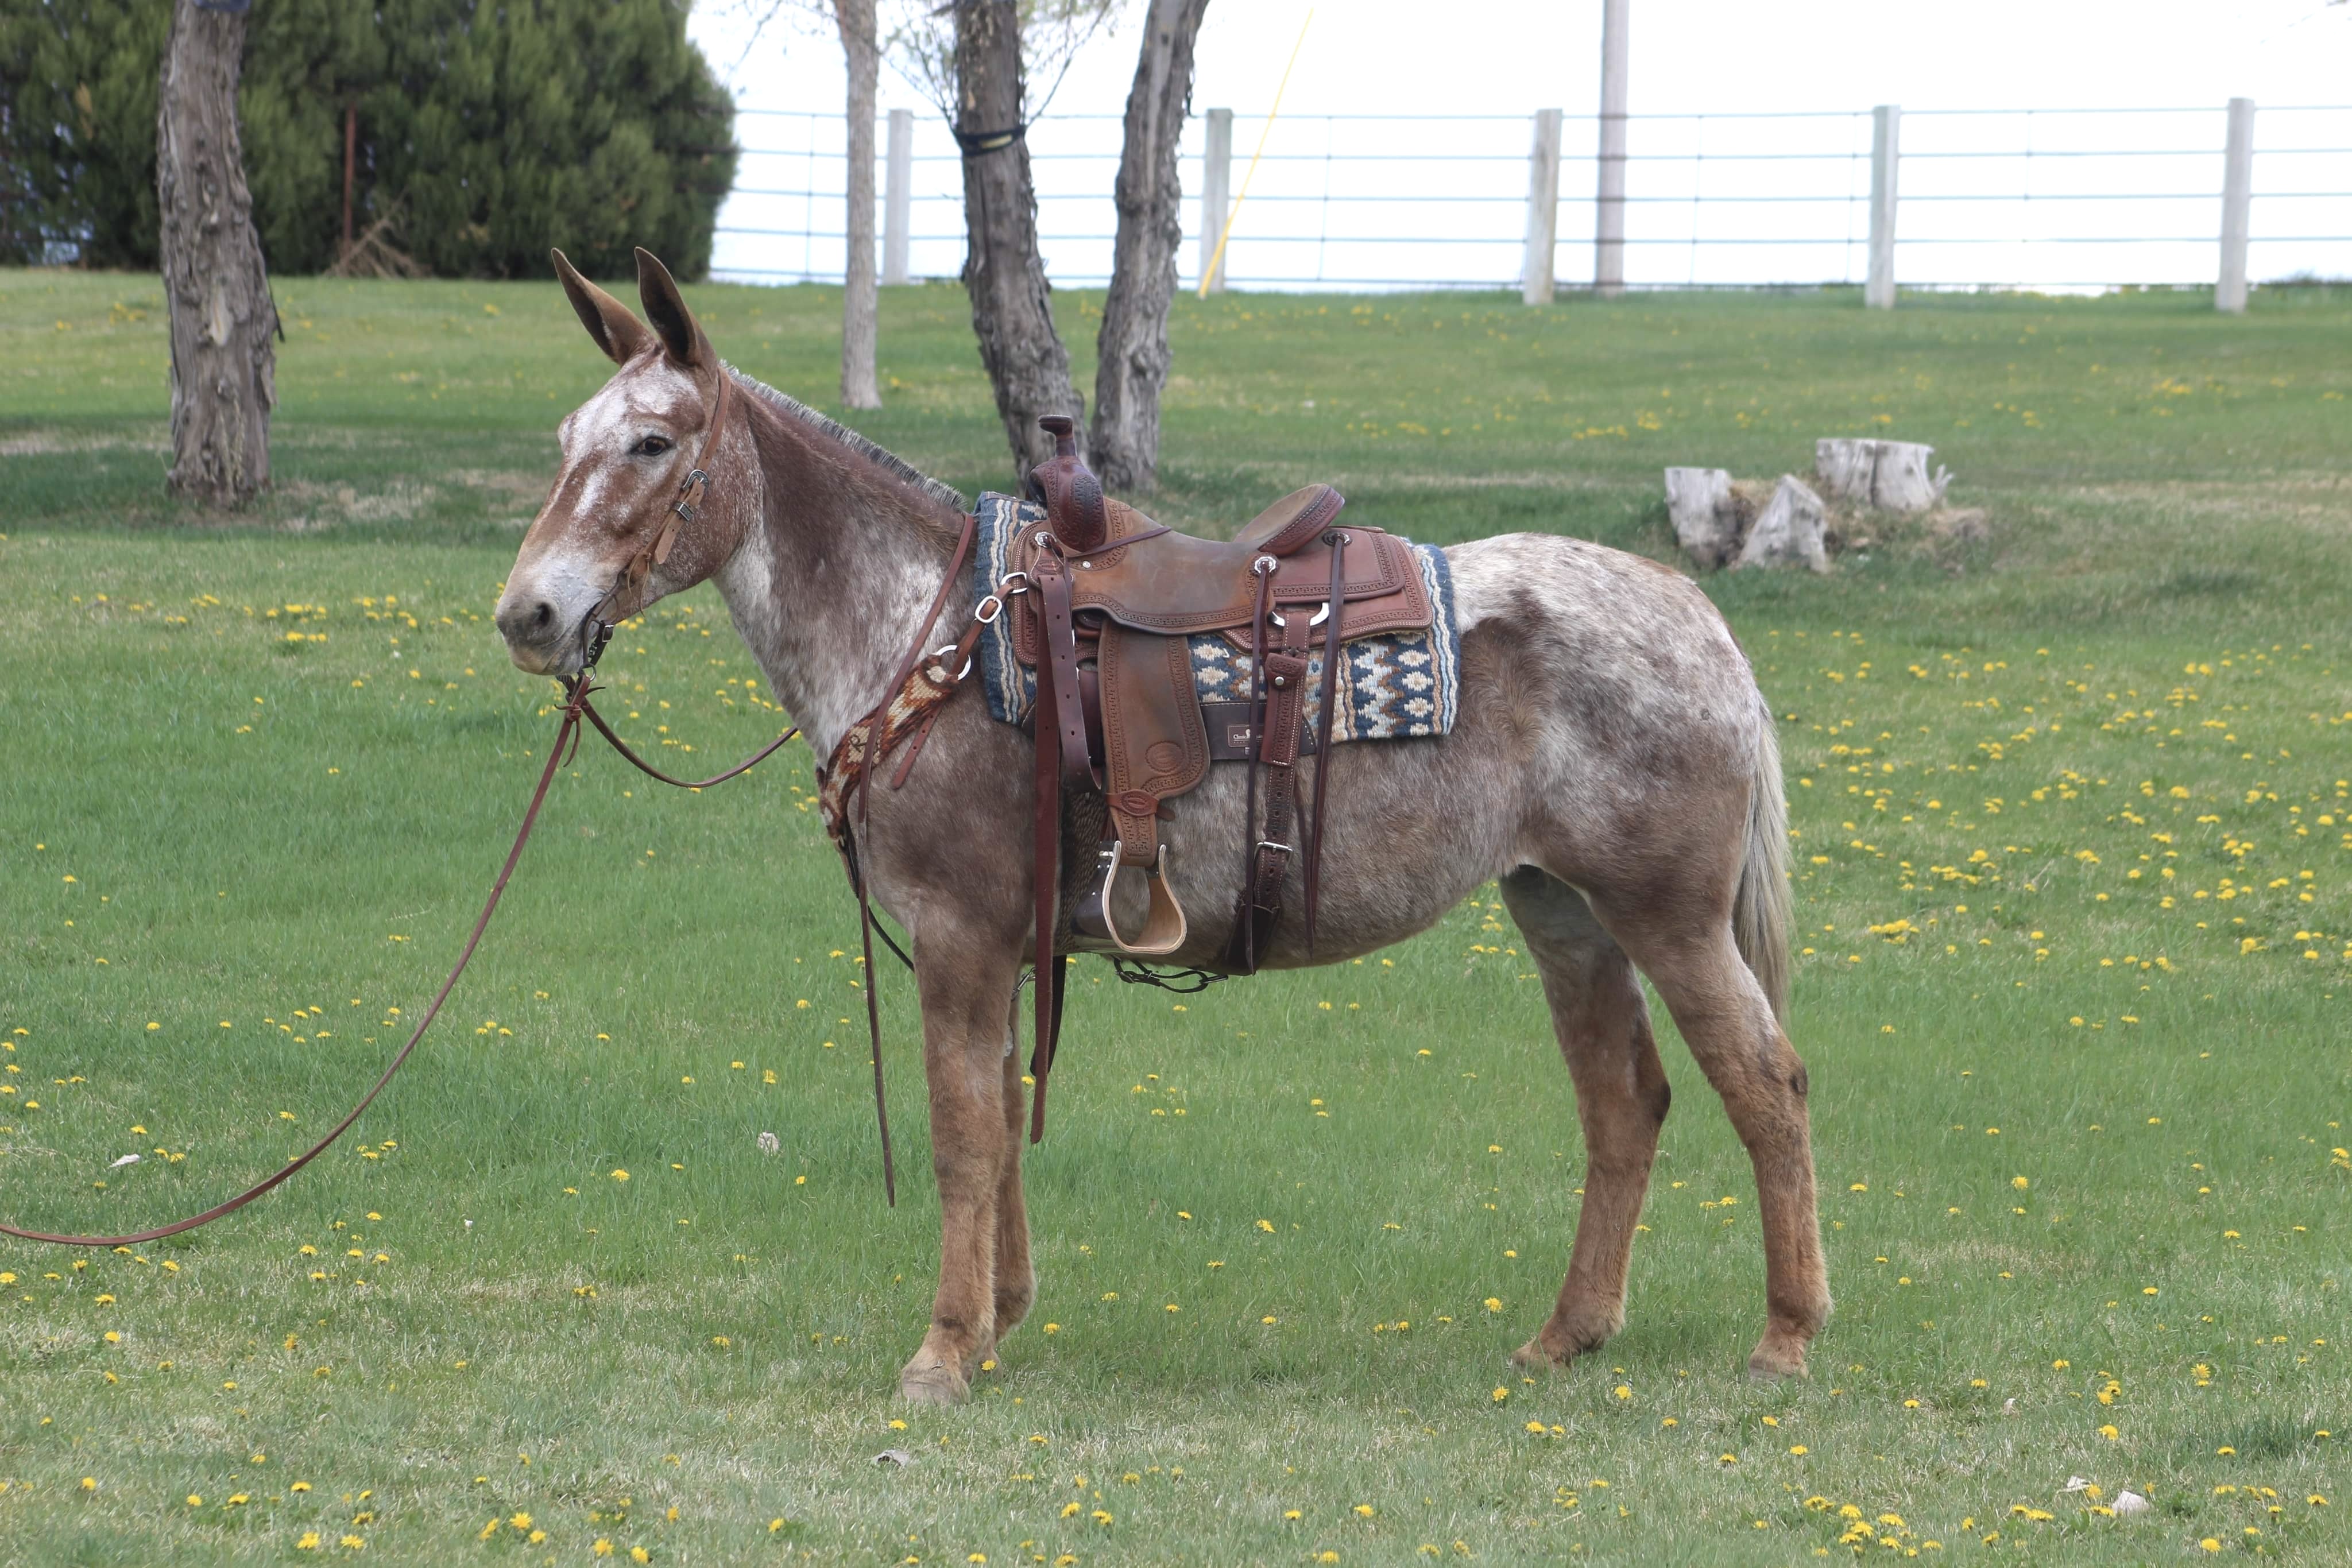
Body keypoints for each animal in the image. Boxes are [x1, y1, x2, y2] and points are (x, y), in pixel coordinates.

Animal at [494, 249, 1830, 1405]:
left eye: (651, 442)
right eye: (561, 442)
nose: (528, 615)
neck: (940, 633)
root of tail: (1696, 615)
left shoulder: (958, 934)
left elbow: (962, 1135)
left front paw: (941, 1353)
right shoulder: (997, 945)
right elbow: (998, 1117)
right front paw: (995, 1321)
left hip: (1669, 919)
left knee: (1766, 1084)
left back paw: (1784, 1337)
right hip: (1563, 913)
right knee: (1624, 1104)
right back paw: (1567, 1334)